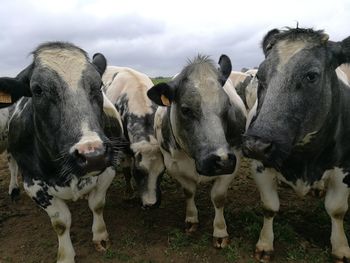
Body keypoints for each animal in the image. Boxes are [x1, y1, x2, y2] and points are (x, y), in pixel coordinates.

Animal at [0, 42, 124, 263]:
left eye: (98, 85)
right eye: (37, 90)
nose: (92, 154)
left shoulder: (108, 169)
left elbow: (97, 204)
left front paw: (100, 237)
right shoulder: (32, 183)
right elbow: (61, 222)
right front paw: (66, 255)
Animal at [102, 67, 165, 209]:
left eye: (162, 172)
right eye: (139, 171)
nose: (151, 204)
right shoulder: (123, 146)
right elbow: (126, 170)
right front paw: (129, 194)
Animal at [146, 54, 247, 249]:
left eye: (227, 106)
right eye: (186, 109)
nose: (221, 160)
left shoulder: (234, 160)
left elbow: (218, 197)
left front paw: (220, 231)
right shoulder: (173, 166)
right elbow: (189, 192)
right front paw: (191, 219)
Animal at [243, 27, 350, 262]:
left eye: (311, 75)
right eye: (259, 76)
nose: (257, 144)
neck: (304, 158)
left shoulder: (345, 170)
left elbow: (337, 210)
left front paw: (340, 248)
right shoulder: (259, 166)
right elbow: (269, 207)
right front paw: (265, 244)